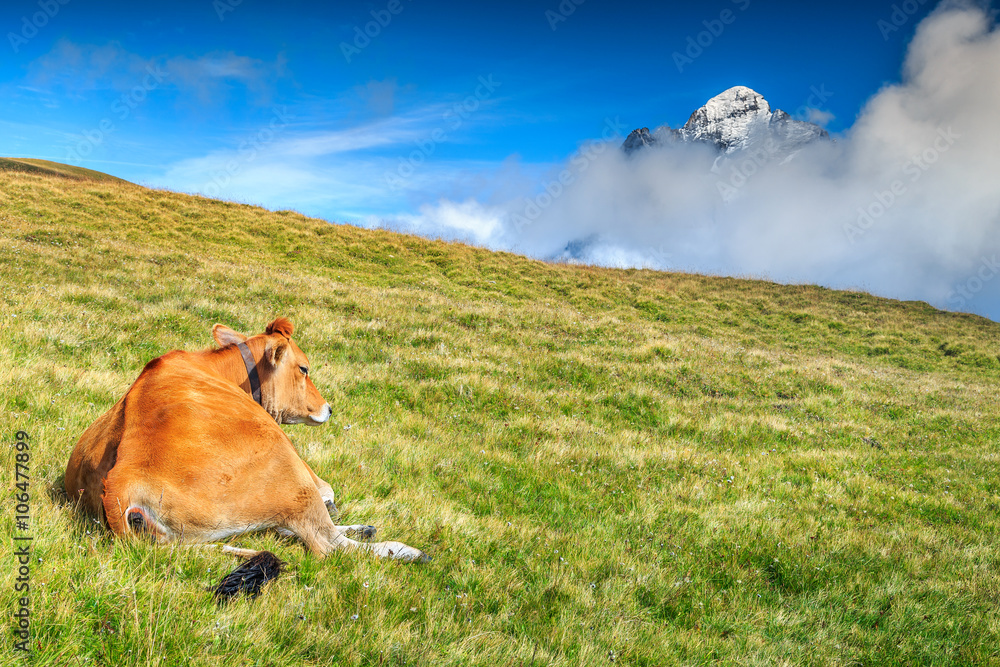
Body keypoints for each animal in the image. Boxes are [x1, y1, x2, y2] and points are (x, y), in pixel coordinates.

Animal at [64, 318, 428, 564]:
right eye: (304, 369)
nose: (328, 408)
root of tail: (121, 478)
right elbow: (327, 493)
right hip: (287, 473)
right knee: (326, 543)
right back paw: (403, 550)